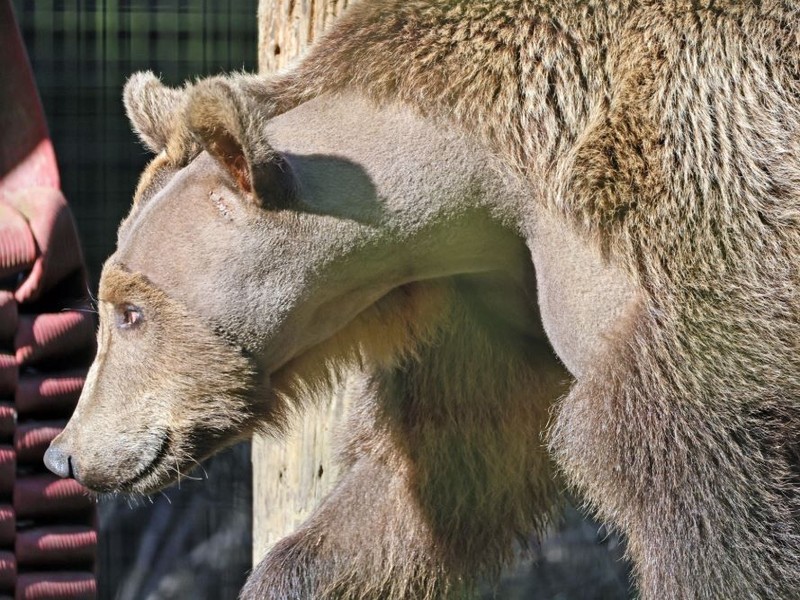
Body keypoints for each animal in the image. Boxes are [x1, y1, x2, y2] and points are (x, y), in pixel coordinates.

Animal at [47, 2, 796, 596]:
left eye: (130, 311)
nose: (66, 453)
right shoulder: (497, 309)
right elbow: (429, 473)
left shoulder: (694, 245)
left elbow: (709, 505)